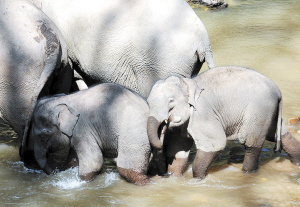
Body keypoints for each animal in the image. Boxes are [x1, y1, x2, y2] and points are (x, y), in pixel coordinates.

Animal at [146, 66, 300, 180]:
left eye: (171, 101)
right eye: (147, 101)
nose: (162, 130)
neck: (189, 83)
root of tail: (278, 91)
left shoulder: (202, 114)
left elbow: (215, 144)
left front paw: (198, 178)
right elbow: (178, 149)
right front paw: (174, 177)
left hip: (258, 111)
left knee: (251, 144)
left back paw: (246, 173)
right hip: (269, 113)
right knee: (280, 135)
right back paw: (296, 163)